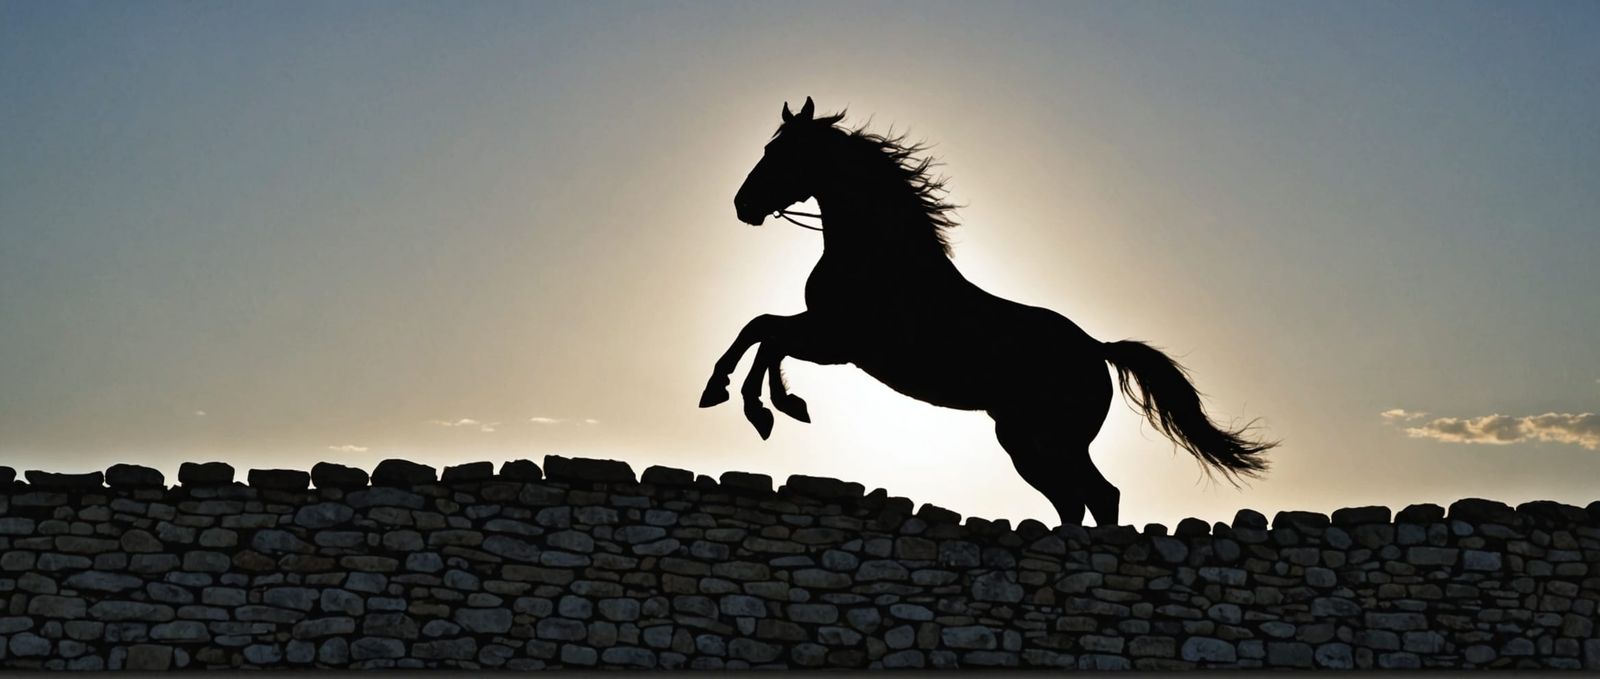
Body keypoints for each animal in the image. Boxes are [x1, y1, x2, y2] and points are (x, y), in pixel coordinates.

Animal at [699, 97, 1276, 526]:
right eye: (770, 148)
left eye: (784, 153)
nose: (742, 205)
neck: (878, 253)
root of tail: (1096, 349)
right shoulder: (826, 336)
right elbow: (760, 330)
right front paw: (751, 398)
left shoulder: (838, 342)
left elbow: (767, 334)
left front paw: (761, 405)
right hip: (1023, 441)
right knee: (1074, 500)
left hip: (1055, 440)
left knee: (1101, 495)